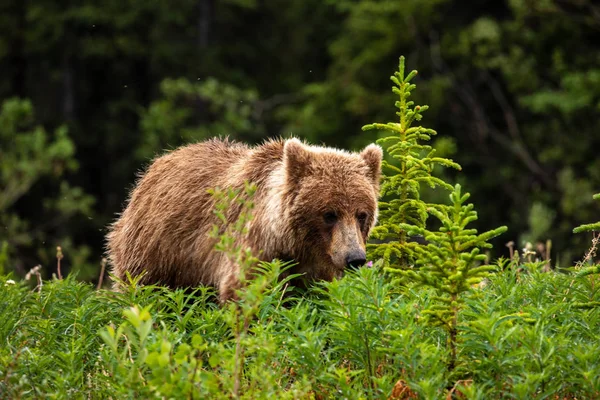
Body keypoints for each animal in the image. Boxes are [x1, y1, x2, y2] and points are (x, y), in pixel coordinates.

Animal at [105, 137, 382, 300]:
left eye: (362, 214)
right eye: (329, 214)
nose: (355, 258)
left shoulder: (317, 268)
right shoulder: (252, 247)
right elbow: (244, 292)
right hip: (156, 250)